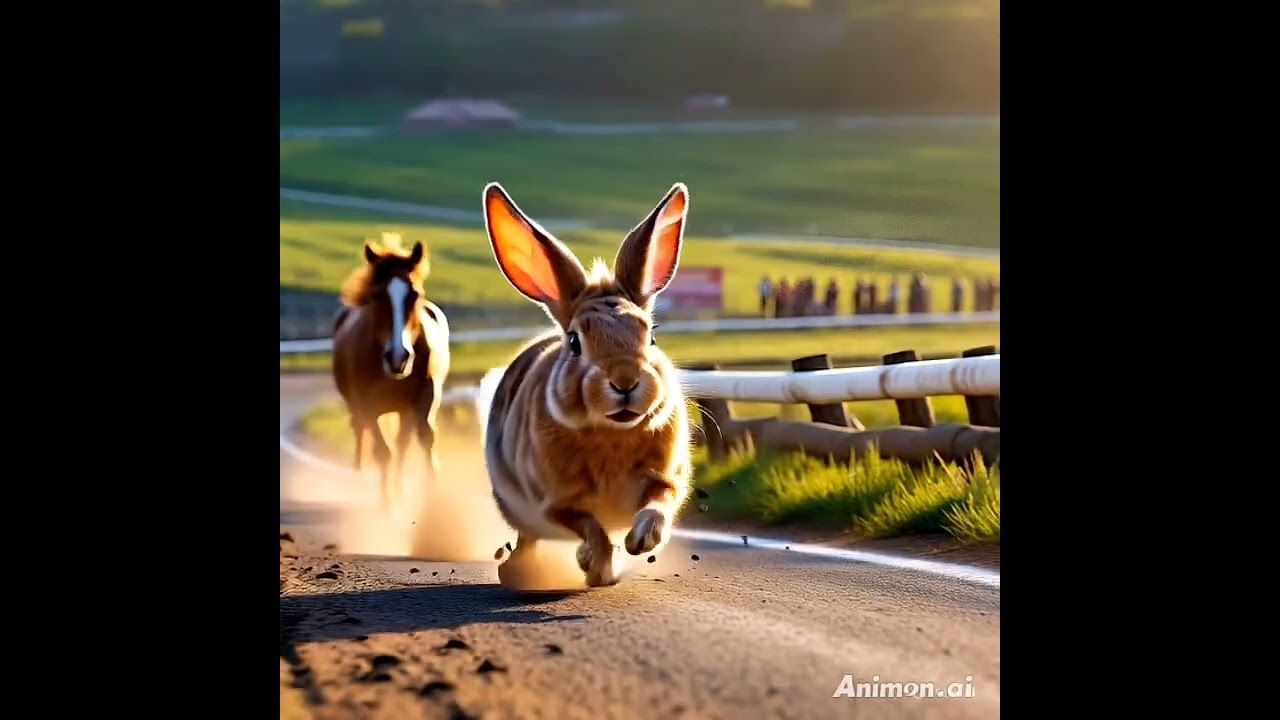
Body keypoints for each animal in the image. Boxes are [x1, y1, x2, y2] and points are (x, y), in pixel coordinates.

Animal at [331, 234, 451, 514]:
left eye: (415, 294)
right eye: (377, 295)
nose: (399, 357)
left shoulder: (425, 396)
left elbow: (425, 440)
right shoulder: (365, 405)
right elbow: (382, 451)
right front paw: (386, 504)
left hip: (404, 410)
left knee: (402, 446)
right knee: (365, 436)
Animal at [478, 180, 694, 587]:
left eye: (651, 336)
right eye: (575, 342)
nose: (624, 380)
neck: (611, 432)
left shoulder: (666, 479)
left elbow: (659, 503)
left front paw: (642, 540)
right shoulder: (555, 505)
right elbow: (591, 528)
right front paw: (598, 571)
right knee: (529, 538)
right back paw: (515, 571)